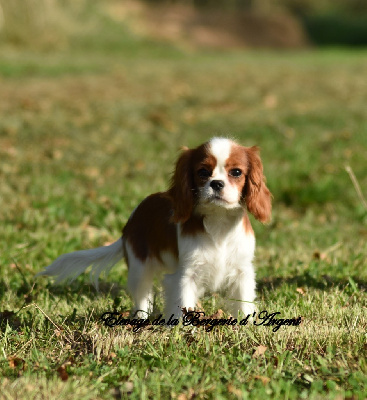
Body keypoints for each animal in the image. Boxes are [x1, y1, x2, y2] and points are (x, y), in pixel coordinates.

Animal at [37, 138, 272, 318]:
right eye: (203, 172)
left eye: (236, 172)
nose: (216, 183)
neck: (218, 221)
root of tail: (131, 221)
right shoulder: (185, 275)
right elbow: (182, 304)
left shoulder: (242, 272)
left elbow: (243, 303)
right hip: (139, 268)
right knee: (142, 299)